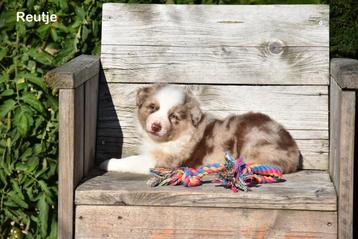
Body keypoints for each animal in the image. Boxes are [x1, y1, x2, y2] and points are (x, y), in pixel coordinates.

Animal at [100, 84, 300, 174]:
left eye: (173, 117)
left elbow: (130, 160)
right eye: (153, 107)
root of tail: (294, 151)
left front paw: (107, 162)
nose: (156, 126)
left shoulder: (161, 160)